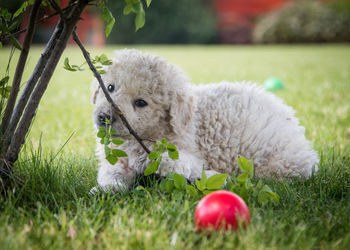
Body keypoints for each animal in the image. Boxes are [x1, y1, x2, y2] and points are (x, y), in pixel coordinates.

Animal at [91, 49, 318, 192]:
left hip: (274, 161)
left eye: (141, 102)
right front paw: (108, 187)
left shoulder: (190, 153)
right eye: (109, 88)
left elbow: (176, 162)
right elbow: (111, 171)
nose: (103, 117)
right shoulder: (115, 158)